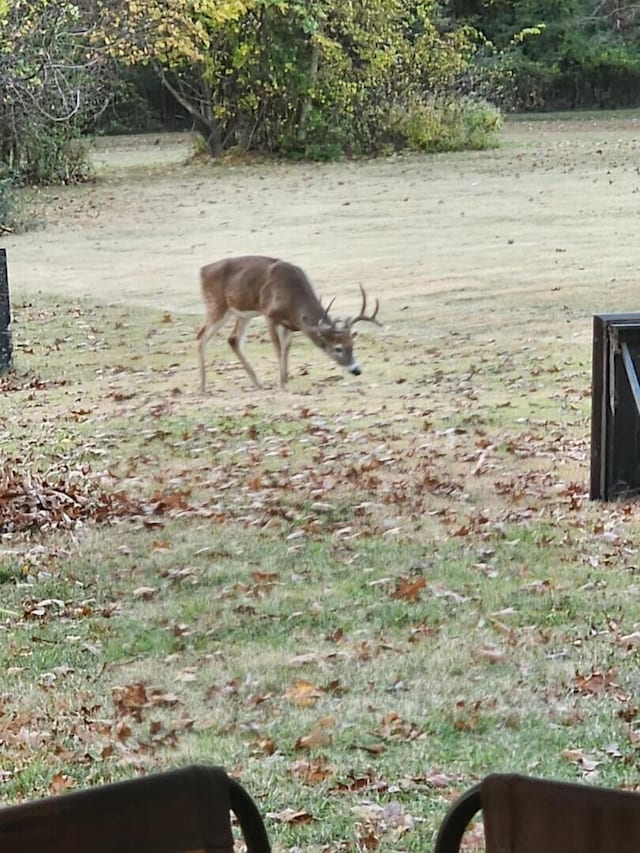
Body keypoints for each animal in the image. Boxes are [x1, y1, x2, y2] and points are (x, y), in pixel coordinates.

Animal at [196, 255, 380, 392]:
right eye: (338, 348)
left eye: (352, 345)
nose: (357, 370)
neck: (293, 296)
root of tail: (202, 270)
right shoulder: (269, 314)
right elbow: (278, 350)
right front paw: (281, 385)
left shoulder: (290, 323)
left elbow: (286, 349)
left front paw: (285, 380)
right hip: (217, 305)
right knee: (201, 336)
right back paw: (202, 386)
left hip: (243, 313)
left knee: (233, 339)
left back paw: (258, 384)